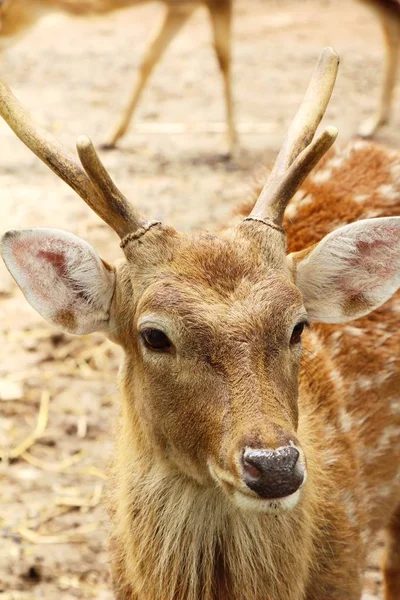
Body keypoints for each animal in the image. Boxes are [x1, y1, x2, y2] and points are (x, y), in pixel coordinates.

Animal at [0, 0, 236, 152]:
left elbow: (224, 58)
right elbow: (149, 56)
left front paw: (230, 143)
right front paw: (111, 137)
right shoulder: (180, 8)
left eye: (2, 10)